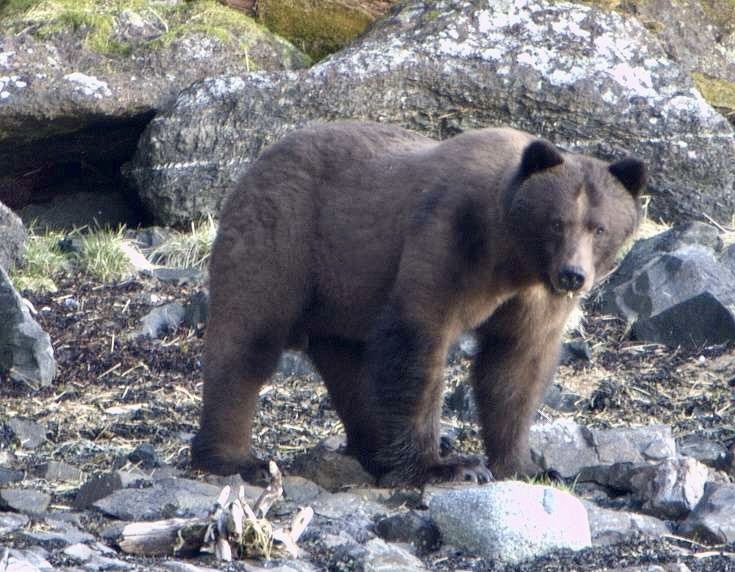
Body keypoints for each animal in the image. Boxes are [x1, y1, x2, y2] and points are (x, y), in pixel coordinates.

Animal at [190, 123, 644, 484]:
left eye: (599, 228)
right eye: (556, 222)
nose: (573, 275)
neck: (513, 257)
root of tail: (256, 163)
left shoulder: (532, 297)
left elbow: (517, 365)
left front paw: (525, 465)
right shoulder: (450, 237)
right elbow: (419, 339)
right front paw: (445, 466)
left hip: (344, 289)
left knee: (349, 365)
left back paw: (374, 453)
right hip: (283, 236)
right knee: (248, 339)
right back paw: (233, 458)